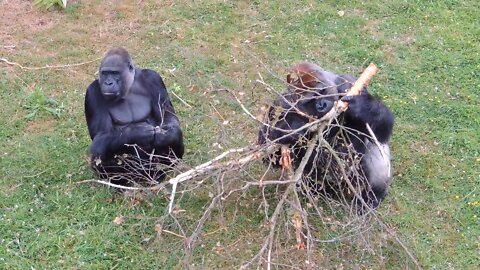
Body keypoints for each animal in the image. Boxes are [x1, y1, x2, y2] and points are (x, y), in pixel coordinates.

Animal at [84, 47, 184, 185]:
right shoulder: (92, 91)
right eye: (105, 73)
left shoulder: (154, 78)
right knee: (101, 151)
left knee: (176, 136)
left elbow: (169, 118)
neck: (129, 86)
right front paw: (138, 132)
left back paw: (157, 177)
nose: (108, 83)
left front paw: (166, 135)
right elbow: (100, 137)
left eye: (115, 73)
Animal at [258, 62, 394, 211]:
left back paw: (372, 196)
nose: (321, 105)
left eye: (321, 92)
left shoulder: (349, 82)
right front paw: (292, 127)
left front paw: (362, 106)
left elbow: (379, 133)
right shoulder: (280, 104)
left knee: (376, 153)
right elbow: (269, 152)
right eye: (310, 101)